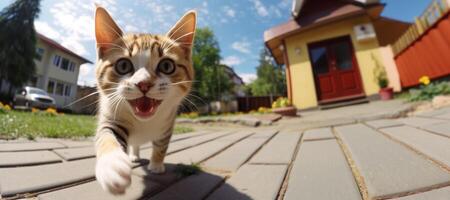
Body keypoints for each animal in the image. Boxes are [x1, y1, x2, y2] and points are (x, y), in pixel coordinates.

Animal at [92, 5, 195, 195]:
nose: (144, 83)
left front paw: (156, 164)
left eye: (167, 66)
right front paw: (112, 166)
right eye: (123, 65)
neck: (143, 122)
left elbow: (161, 146)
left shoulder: (168, 124)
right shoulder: (111, 116)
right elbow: (106, 136)